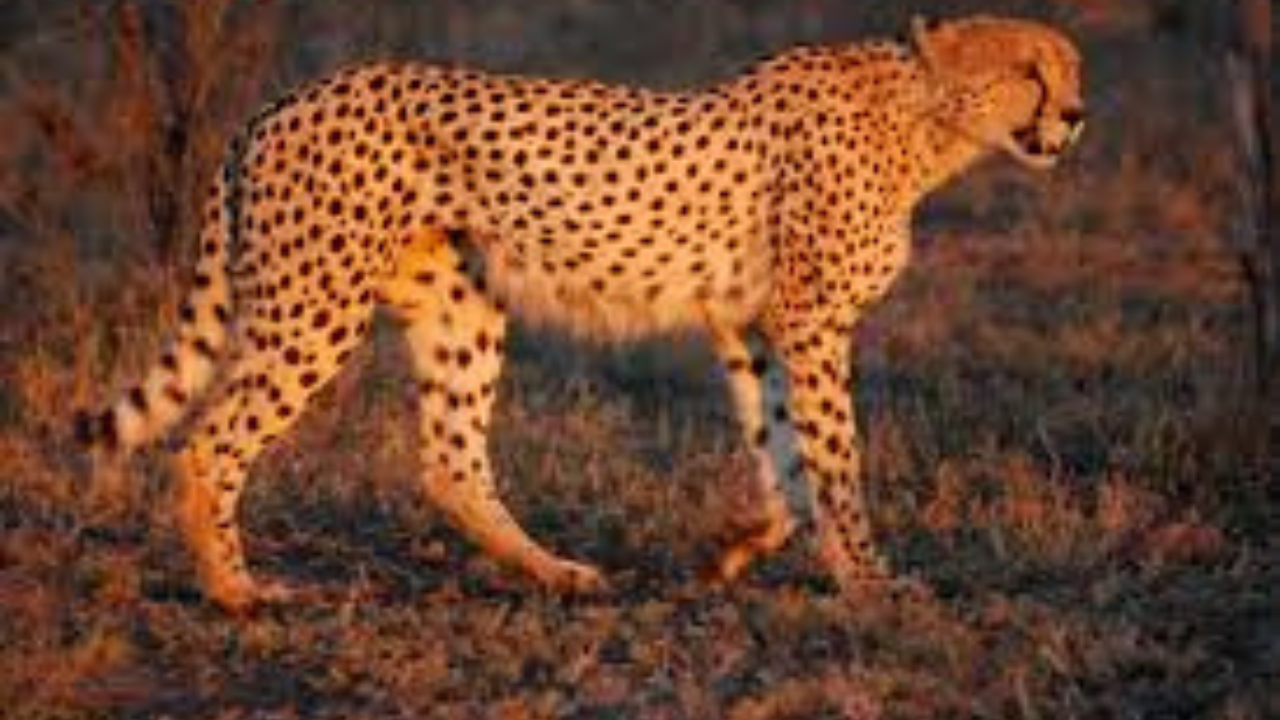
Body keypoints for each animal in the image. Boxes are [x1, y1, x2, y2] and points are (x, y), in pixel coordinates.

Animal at [75, 15, 1085, 613]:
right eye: (1028, 70)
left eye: (1069, 69)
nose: (1075, 116)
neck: (925, 119)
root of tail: (282, 100)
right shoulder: (808, 322)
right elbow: (836, 459)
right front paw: (871, 580)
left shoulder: (748, 324)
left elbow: (785, 456)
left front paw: (736, 549)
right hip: (313, 308)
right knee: (210, 441)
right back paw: (236, 590)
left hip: (461, 308)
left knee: (450, 460)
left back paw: (555, 571)